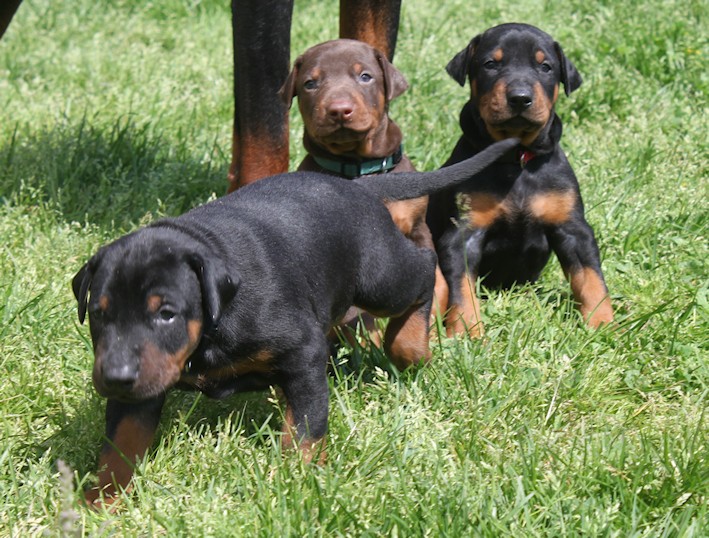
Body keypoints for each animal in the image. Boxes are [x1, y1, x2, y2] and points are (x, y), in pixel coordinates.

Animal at [70, 136, 516, 504]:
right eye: (99, 314)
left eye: (166, 314)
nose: (116, 377)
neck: (215, 322)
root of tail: (356, 187)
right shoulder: (142, 383)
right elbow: (121, 441)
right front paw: (102, 500)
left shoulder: (302, 353)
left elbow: (305, 428)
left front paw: (296, 483)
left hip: (379, 276)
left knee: (422, 270)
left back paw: (412, 348)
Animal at [426, 24, 612, 336]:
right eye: (490, 64)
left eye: (545, 67)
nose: (520, 98)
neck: (517, 160)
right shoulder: (463, 233)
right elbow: (462, 289)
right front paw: (467, 332)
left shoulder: (573, 228)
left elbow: (591, 280)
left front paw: (605, 325)